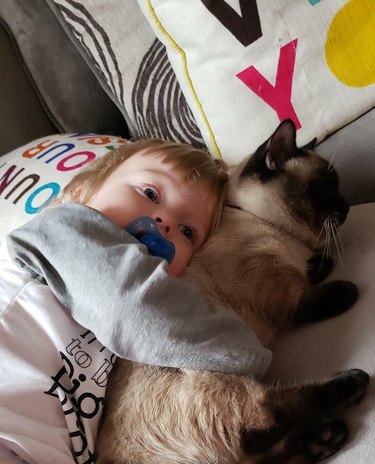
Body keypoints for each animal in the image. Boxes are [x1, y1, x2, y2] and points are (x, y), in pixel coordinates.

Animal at [97, 121, 370, 462]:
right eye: (325, 189)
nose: (346, 208)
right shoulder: (285, 297)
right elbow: (314, 299)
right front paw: (347, 289)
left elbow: (315, 267)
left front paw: (322, 262)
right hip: (219, 380)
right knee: (265, 417)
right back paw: (353, 384)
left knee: (259, 447)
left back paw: (326, 437)